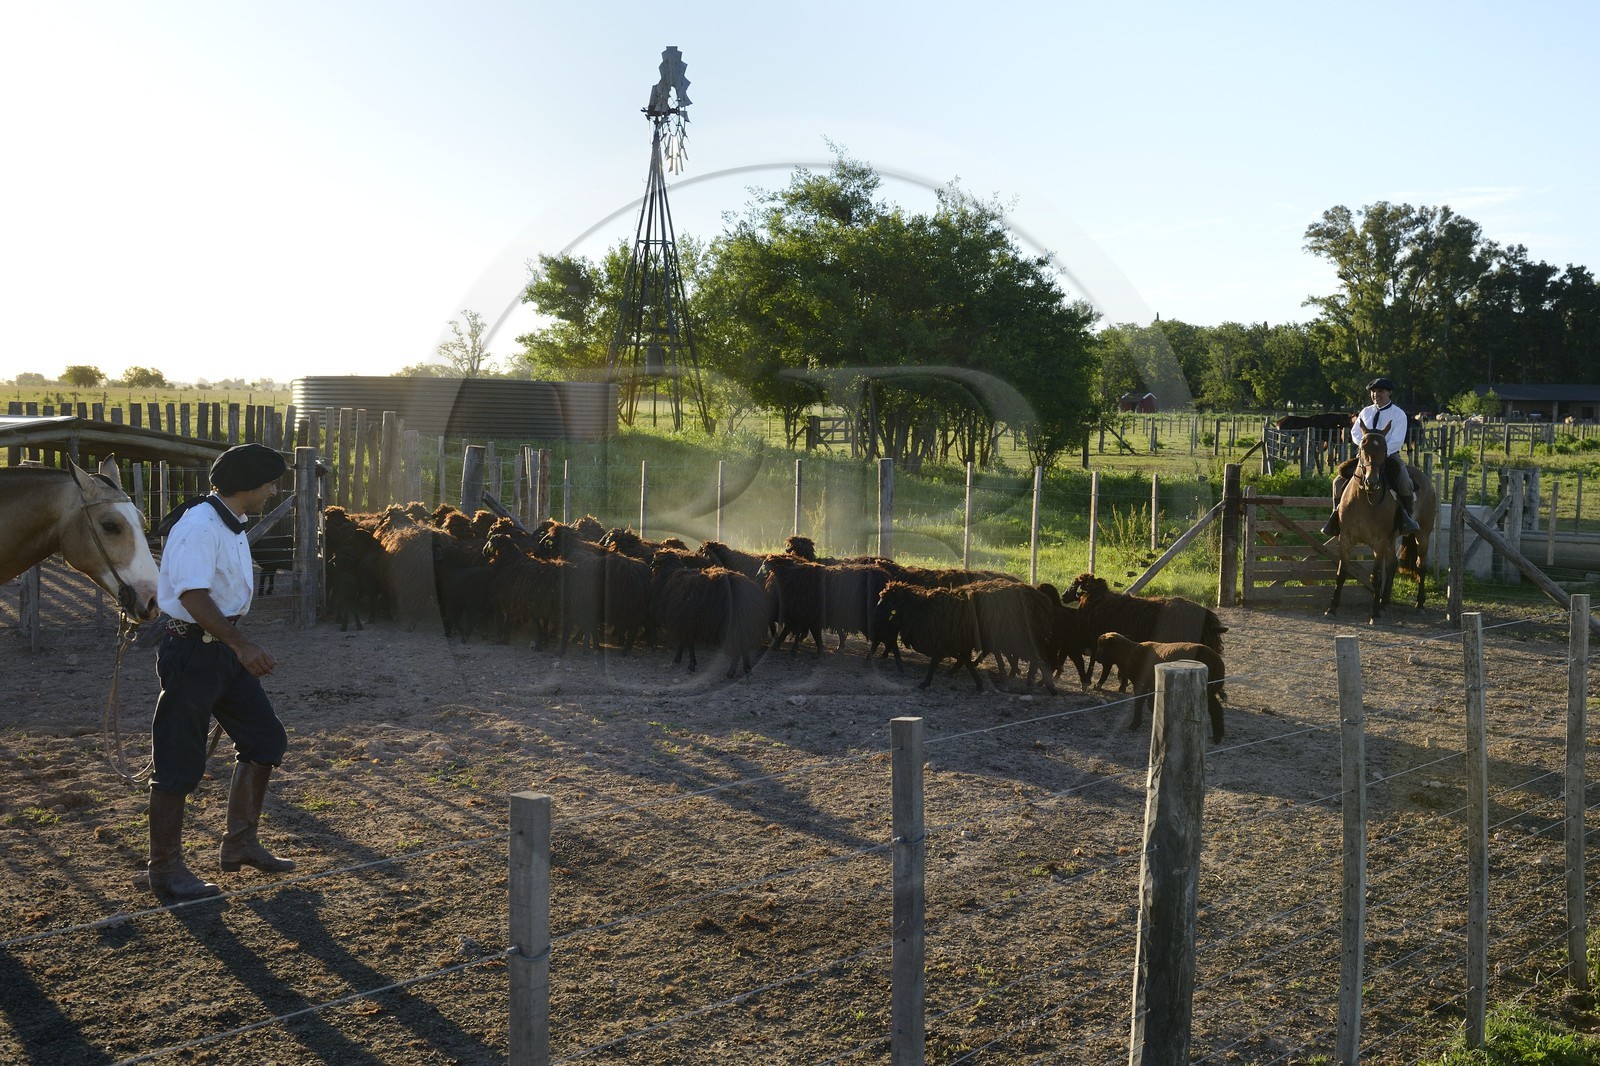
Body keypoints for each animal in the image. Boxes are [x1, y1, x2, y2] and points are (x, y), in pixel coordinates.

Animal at [1094, 631, 1227, 741]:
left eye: (1102, 645)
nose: (1097, 658)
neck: (1128, 653)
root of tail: (1219, 663)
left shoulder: (1141, 683)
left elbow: (1140, 702)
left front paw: (1135, 724)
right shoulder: (1152, 684)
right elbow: (1152, 702)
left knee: (1212, 708)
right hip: (1210, 689)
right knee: (1216, 708)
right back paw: (1218, 736)